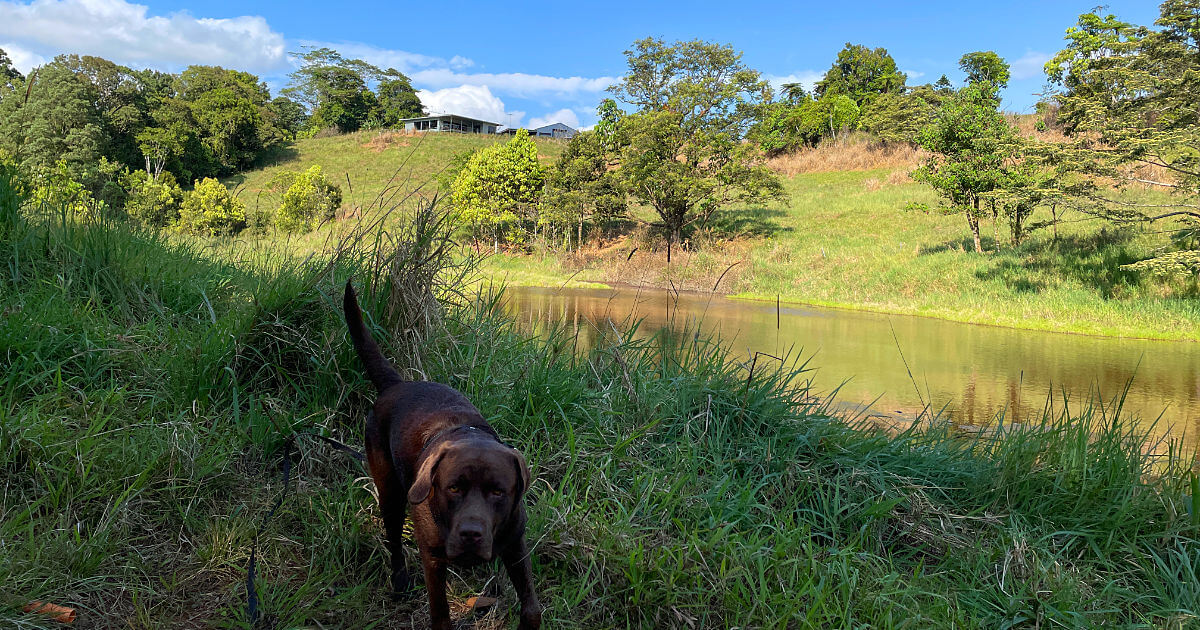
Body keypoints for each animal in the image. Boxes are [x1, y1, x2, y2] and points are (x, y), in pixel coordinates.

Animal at [340, 280, 542, 628]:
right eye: (454, 488)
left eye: (498, 491)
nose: (471, 533)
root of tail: (396, 385)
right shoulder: (433, 557)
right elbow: (440, 612)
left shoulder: (516, 544)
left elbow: (531, 606)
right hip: (390, 493)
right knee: (394, 539)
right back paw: (400, 582)